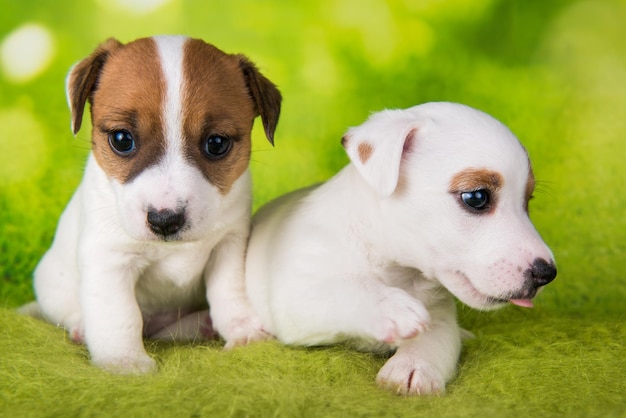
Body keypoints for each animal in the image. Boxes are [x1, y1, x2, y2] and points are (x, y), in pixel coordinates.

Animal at [22, 36, 280, 374]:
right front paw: (123, 362)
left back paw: (203, 325)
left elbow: (229, 291)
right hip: (52, 282)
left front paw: (243, 331)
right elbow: (120, 314)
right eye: (122, 139)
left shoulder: (229, 245)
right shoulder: (110, 259)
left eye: (217, 143)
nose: (165, 220)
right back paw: (81, 329)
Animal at [244, 102, 556, 396]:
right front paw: (390, 306)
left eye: (527, 200)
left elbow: (435, 339)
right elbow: (344, 289)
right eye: (476, 197)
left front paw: (413, 366)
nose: (547, 274)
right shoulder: (295, 296)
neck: (400, 271)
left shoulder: (440, 313)